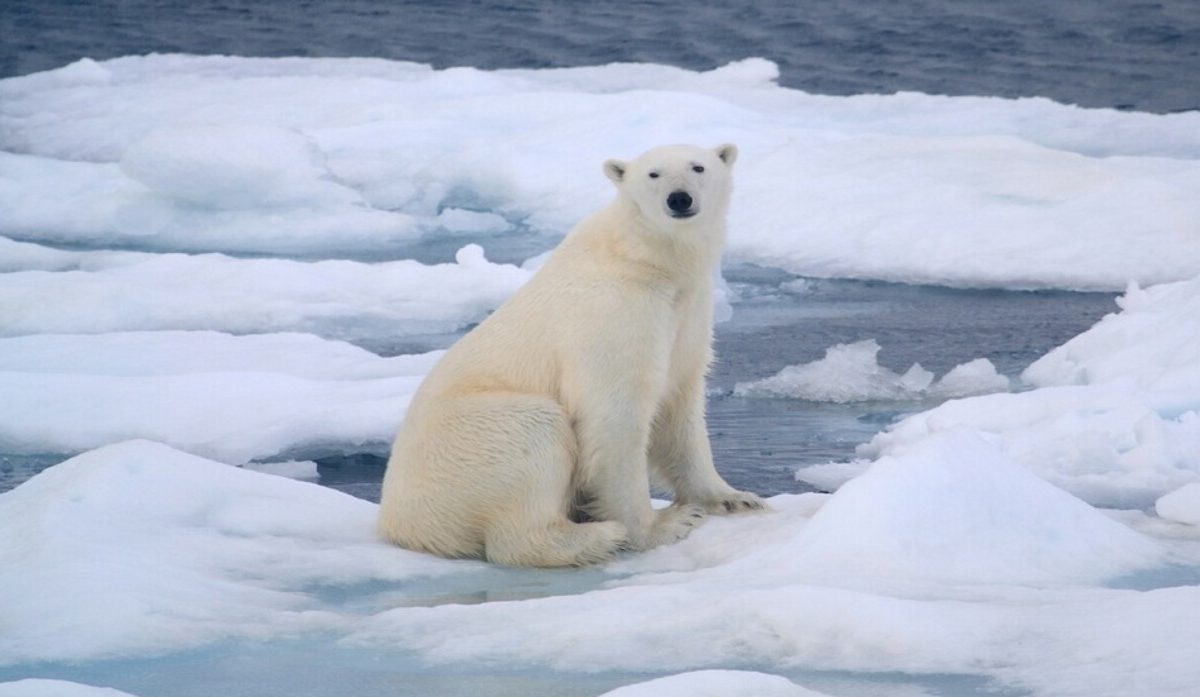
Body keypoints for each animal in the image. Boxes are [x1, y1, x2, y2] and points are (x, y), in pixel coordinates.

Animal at [379, 141, 763, 566]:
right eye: (654, 174)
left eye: (698, 167)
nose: (679, 199)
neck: (644, 258)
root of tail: (404, 526)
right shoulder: (615, 313)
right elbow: (616, 417)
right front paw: (662, 525)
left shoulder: (687, 314)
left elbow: (681, 405)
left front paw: (732, 497)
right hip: (469, 443)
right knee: (535, 435)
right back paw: (596, 536)